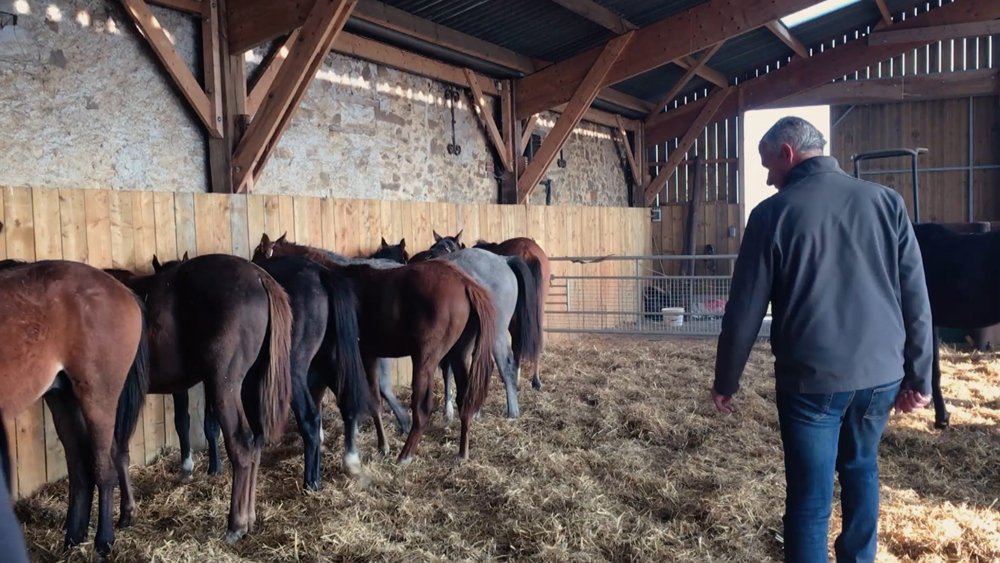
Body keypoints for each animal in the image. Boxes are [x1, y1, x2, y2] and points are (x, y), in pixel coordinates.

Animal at [0, 258, 149, 558]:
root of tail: (124, 292)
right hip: (63, 398)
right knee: (81, 468)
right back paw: (73, 539)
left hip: (97, 397)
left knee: (104, 468)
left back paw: (103, 542)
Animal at [115, 253, 293, 543]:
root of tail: (259, 277)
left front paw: (125, 514)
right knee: (255, 443)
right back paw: (249, 518)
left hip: (224, 387)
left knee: (242, 445)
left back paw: (236, 524)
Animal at [254, 234, 496, 464]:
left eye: (258, 258)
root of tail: (464, 283)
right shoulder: (368, 355)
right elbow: (373, 401)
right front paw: (382, 446)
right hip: (459, 355)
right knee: (465, 399)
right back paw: (462, 452)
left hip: (425, 358)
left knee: (422, 408)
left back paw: (405, 455)